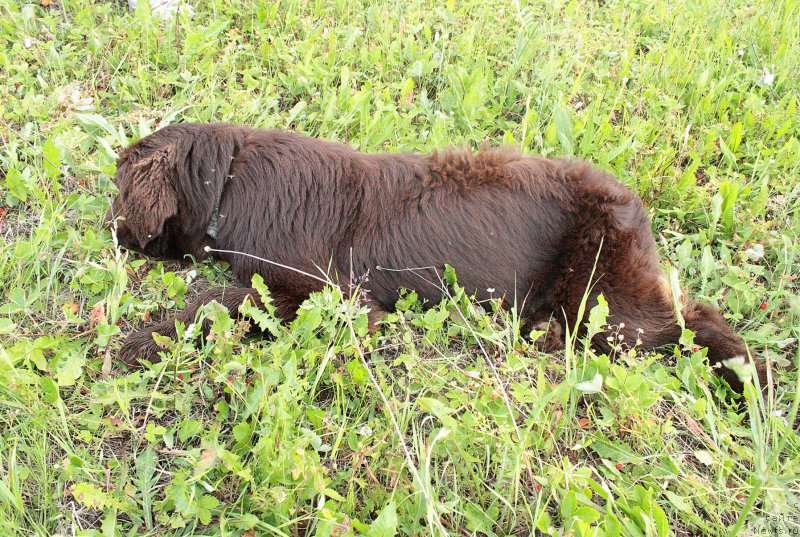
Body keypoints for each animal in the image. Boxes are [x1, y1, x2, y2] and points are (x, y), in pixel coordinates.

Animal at [109, 123, 764, 392]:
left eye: (116, 190)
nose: (110, 231)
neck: (228, 182)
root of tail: (633, 203)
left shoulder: (324, 296)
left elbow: (213, 301)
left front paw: (139, 342)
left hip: (609, 306)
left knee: (694, 320)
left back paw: (748, 382)